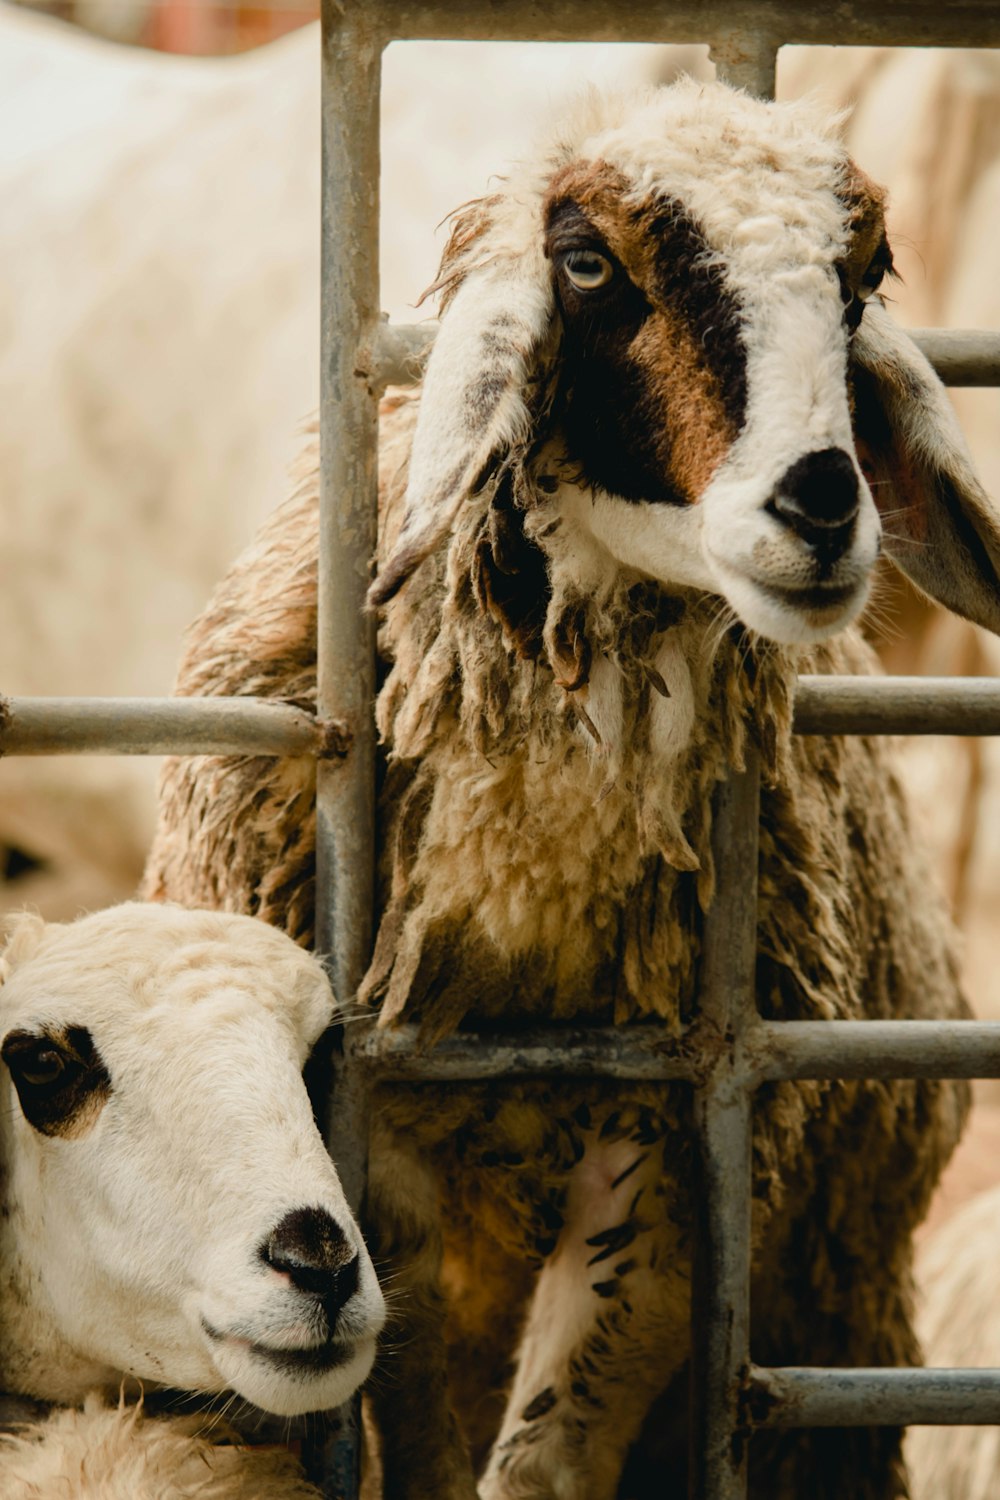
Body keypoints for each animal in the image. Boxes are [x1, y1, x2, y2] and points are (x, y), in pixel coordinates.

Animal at [140, 82, 1000, 1500]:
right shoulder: (384, 1165)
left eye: (864, 275)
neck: (524, 893)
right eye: (589, 265)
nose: (824, 507)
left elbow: (550, 1450)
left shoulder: (676, 1157)